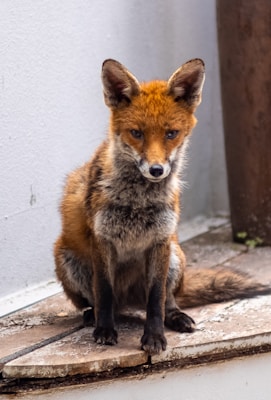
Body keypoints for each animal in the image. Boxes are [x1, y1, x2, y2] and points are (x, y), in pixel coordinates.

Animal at [55, 58, 271, 354]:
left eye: (171, 134)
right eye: (136, 133)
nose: (156, 170)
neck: (137, 203)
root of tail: (129, 300)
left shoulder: (159, 240)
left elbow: (156, 299)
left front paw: (154, 337)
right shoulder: (102, 239)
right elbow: (105, 292)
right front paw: (105, 329)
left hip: (175, 257)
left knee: (167, 299)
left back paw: (177, 316)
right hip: (67, 259)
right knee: (101, 301)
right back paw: (92, 316)